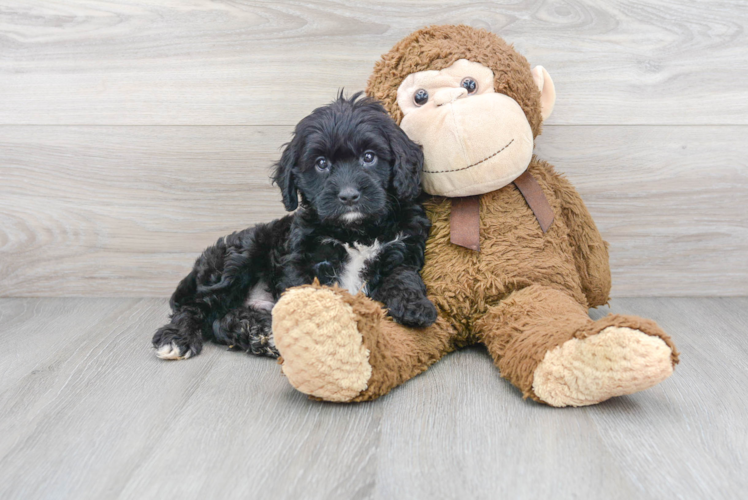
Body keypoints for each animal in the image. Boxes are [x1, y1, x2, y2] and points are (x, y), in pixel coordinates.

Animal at [153, 94, 438, 360]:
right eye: (321, 163)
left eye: (369, 157)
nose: (348, 196)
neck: (357, 231)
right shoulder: (302, 258)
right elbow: (305, 295)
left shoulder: (403, 248)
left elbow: (403, 277)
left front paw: (415, 306)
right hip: (238, 258)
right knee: (198, 306)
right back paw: (177, 337)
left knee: (221, 320)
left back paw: (259, 334)